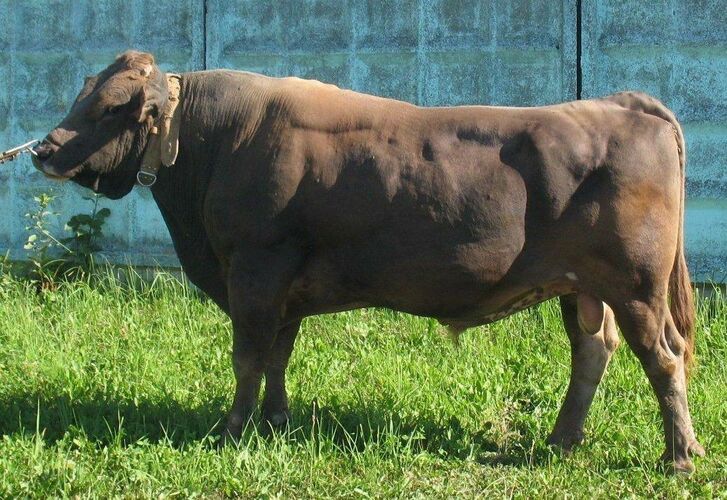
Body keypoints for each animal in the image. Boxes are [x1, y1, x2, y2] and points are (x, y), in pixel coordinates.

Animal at [31, 50, 703, 473]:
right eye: (83, 95)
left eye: (111, 107)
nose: (44, 150)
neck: (221, 138)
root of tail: (620, 103)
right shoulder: (284, 288)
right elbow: (277, 354)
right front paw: (276, 421)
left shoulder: (254, 270)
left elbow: (248, 356)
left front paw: (232, 429)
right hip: (581, 287)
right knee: (593, 352)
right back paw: (562, 442)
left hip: (636, 287)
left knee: (663, 359)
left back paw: (679, 457)